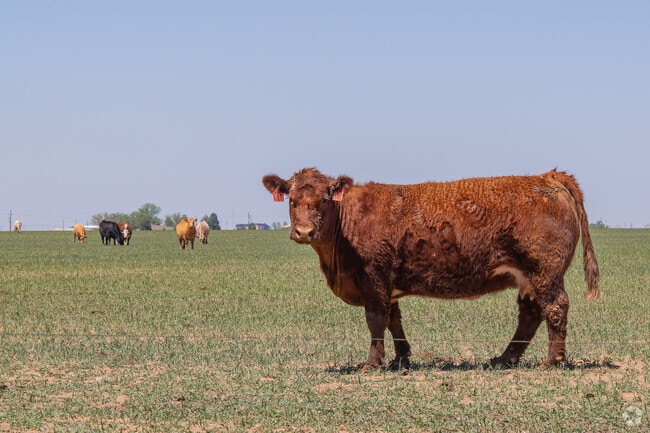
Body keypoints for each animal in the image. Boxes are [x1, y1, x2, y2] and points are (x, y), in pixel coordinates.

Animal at [263, 168, 600, 370]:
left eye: (323, 199)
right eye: (292, 200)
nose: (304, 231)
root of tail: (547, 177)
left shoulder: (374, 279)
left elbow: (376, 321)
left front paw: (372, 363)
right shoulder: (388, 284)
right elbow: (393, 320)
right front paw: (401, 359)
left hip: (545, 272)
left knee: (555, 308)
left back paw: (552, 361)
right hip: (528, 277)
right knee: (530, 315)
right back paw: (505, 359)